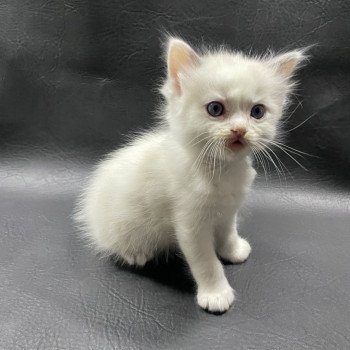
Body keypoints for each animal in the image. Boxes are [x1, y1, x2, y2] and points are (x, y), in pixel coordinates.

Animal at [74, 37, 306, 312]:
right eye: (215, 109)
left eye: (257, 112)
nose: (239, 130)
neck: (220, 170)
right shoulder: (190, 224)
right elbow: (206, 263)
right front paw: (216, 295)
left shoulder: (228, 210)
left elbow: (228, 231)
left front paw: (233, 250)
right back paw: (136, 254)